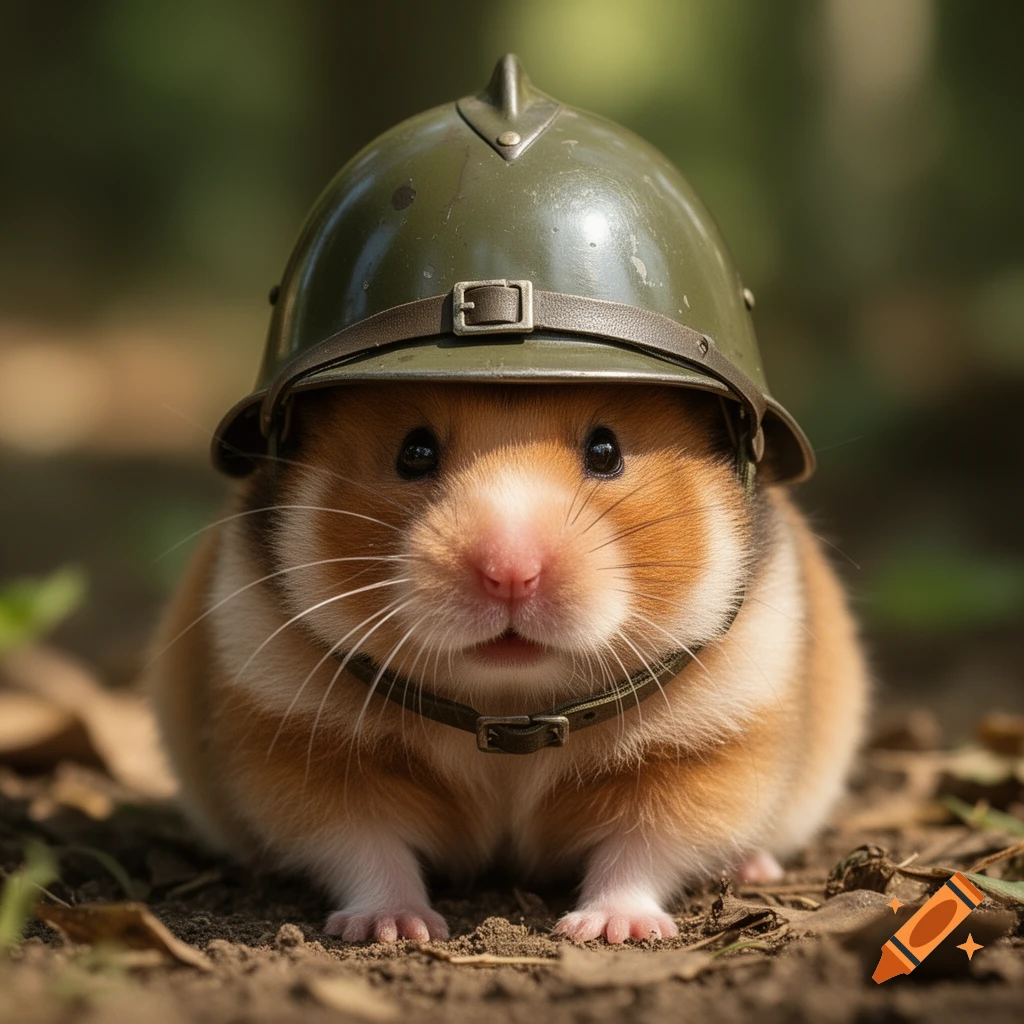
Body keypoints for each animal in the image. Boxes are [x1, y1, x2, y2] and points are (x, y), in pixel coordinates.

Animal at [145, 382, 869, 943]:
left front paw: (610, 931)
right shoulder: (302, 746)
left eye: (606, 450)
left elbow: (647, 844)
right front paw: (395, 929)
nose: (511, 574)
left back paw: (753, 869)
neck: (509, 700)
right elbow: (364, 844)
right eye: (414, 451)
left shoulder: (710, 747)